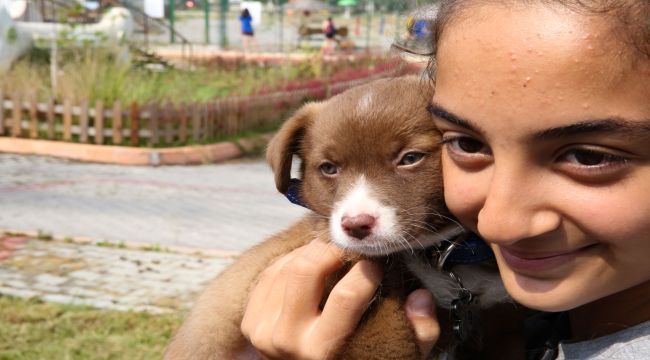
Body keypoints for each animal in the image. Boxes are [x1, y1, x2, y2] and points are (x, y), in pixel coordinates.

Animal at [162, 76, 512, 360]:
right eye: (328, 168)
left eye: (410, 158)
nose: (356, 225)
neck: (443, 258)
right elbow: (384, 341)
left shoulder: (498, 315)